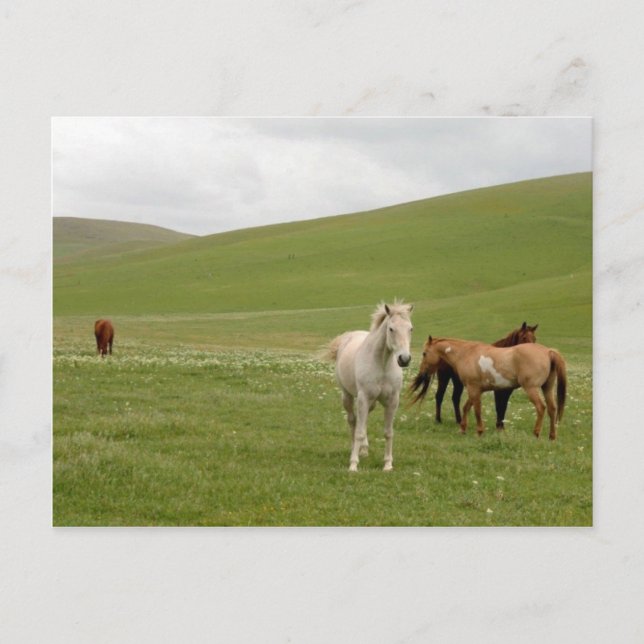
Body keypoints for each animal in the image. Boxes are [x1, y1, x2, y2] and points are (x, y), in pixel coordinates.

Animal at [326, 301, 414, 471]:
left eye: (410, 328)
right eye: (391, 329)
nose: (404, 359)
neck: (382, 364)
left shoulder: (392, 401)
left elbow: (388, 432)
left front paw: (388, 464)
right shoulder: (363, 398)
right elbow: (359, 431)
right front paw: (353, 464)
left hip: (371, 402)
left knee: (363, 420)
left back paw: (364, 449)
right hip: (348, 397)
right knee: (353, 421)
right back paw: (354, 449)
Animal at [410, 322, 538, 428]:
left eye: (534, 338)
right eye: (524, 338)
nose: (534, 354)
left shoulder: (506, 390)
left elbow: (503, 407)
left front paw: (501, 426)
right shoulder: (498, 390)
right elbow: (499, 406)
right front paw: (499, 427)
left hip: (458, 382)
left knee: (455, 398)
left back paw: (459, 420)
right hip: (444, 378)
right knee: (439, 396)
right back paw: (438, 420)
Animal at [414, 336, 566, 439]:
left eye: (424, 353)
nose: (422, 373)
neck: (466, 353)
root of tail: (548, 351)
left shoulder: (473, 389)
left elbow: (477, 411)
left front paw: (479, 431)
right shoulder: (475, 390)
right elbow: (466, 407)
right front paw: (463, 429)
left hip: (531, 388)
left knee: (541, 407)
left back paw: (536, 433)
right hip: (547, 388)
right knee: (552, 409)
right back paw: (552, 436)